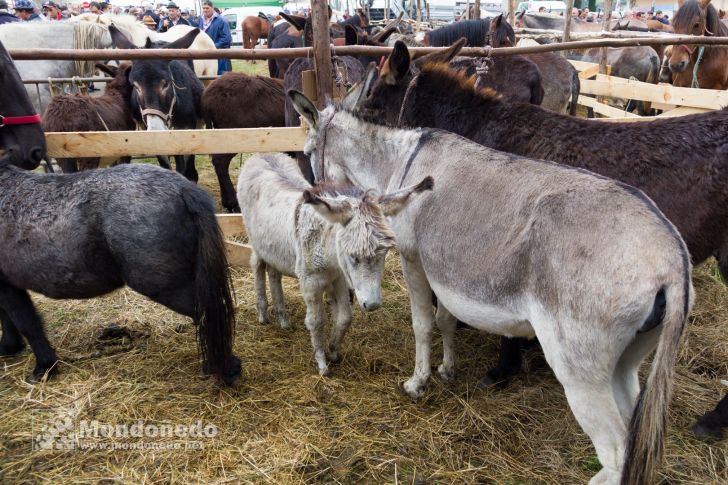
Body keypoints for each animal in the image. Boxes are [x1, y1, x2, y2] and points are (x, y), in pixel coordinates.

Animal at [288, 91, 692, 484]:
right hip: (627, 360)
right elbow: (446, 320)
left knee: (615, 454)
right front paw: (447, 370)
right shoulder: (444, 273)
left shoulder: (413, 260)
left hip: (581, 369)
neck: (399, 162)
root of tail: (671, 258)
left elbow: (422, 324)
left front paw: (418, 383)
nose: (309, 195)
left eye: (307, 151)